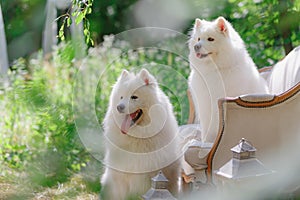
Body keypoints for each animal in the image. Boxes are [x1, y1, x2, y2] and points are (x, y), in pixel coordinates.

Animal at [189, 16, 268, 144]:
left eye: (210, 39)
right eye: (198, 38)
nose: (196, 46)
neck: (215, 69)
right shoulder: (204, 104)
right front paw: (206, 142)